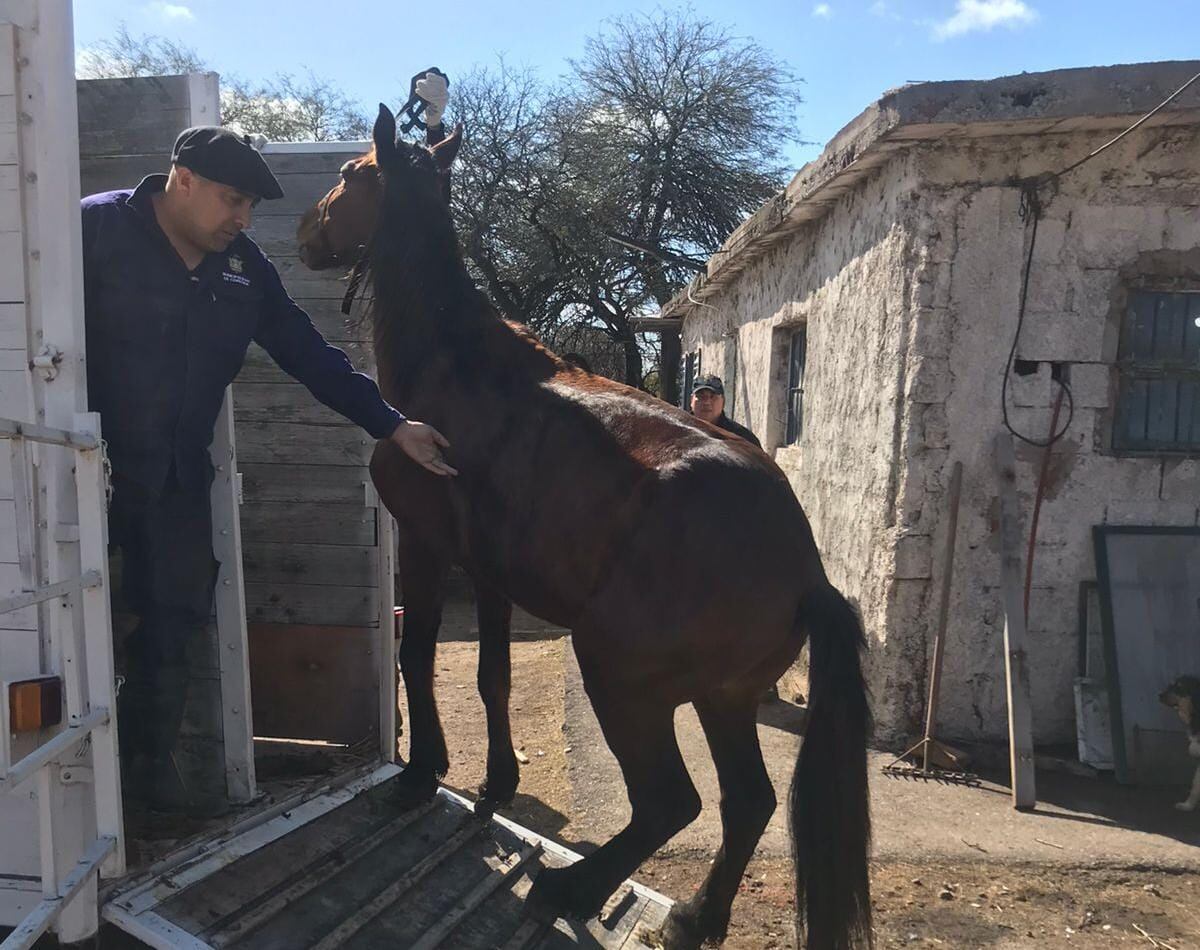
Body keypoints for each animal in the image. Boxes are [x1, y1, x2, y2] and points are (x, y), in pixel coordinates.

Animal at [296, 103, 873, 950]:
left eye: (349, 175)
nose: (307, 232)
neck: (457, 365)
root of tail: (804, 569)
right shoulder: (490, 576)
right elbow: (492, 677)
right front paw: (496, 781)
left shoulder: (429, 551)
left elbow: (417, 656)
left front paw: (422, 771)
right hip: (725, 698)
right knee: (748, 804)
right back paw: (696, 918)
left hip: (618, 674)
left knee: (671, 803)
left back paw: (571, 886)